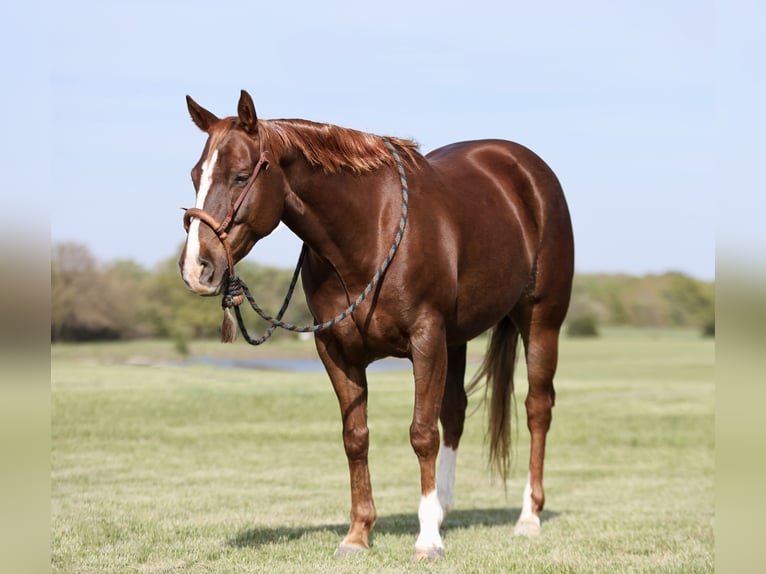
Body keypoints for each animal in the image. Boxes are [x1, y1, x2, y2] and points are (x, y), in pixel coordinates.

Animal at [182, 90, 576, 564]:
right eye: (196, 175)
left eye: (241, 177)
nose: (196, 268)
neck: (368, 232)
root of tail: (526, 169)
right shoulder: (337, 351)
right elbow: (356, 437)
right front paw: (358, 535)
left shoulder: (426, 342)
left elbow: (421, 434)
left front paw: (427, 542)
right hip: (457, 339)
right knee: (456, 412)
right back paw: (443, 510)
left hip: (540, 323)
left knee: (537, 408)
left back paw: (528, 517)